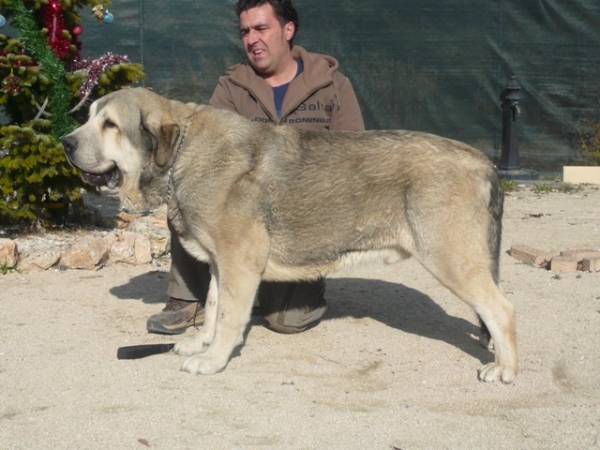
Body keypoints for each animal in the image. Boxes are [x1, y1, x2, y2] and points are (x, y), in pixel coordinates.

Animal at [63, 87, 516, 384]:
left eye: (109, 125)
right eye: (89, 117)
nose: (65, 142)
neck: (181, 155)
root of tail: (483, 160)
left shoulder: (240, 264)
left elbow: (229, 319)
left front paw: (214, 360)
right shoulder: (220, 266)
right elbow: (212, 309)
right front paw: (200, 344)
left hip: (452, 259)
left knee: (502, 310)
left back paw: (505, 369)